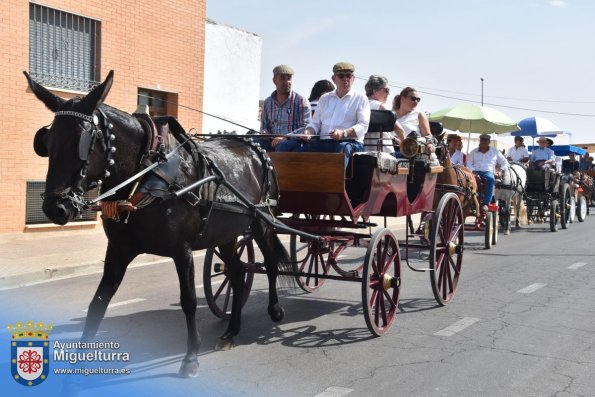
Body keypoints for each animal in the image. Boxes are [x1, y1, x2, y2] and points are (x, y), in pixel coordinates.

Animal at [24, 71, 290, 378]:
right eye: (46, 142)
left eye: (82, 141)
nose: (55, 207)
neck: (148, 175)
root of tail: (254, 146)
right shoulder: (119, 249)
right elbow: (98, 303)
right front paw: (79, 364)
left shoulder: (182, 250)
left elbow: (188, 300)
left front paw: (191, 356)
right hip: (225, 234)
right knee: (236, 273)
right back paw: (231, 331)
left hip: (261, 221)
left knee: (269, 262)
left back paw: (274, 310)